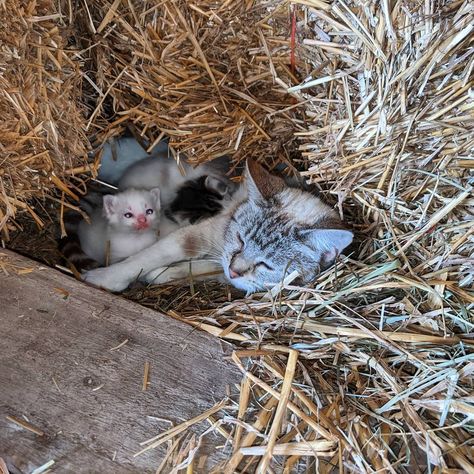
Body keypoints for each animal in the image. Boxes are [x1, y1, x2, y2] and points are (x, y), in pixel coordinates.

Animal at [83, 159, 354, 292]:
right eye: (240, 240)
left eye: (267, 265)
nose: (234, 271)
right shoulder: (199, 233)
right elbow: (147, 256)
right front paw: (104, 278)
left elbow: (201, 269)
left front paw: (165, 273)